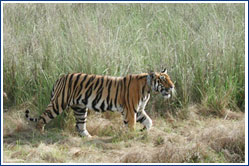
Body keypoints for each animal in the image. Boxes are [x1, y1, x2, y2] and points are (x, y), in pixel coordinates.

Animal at [24, 68, 173, 137]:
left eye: (169, 78)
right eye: (163, 80)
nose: (172, 86)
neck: (148, 88)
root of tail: (61, 77)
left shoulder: (139, 110)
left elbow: (149, 121)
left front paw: (144, 131)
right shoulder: (131, 110)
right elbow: (131, 125)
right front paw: (131, 137)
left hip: (80, 108)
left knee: (80, 125)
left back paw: (88, 137)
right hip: (59, 103)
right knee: (43, 117)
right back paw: (40, 133)